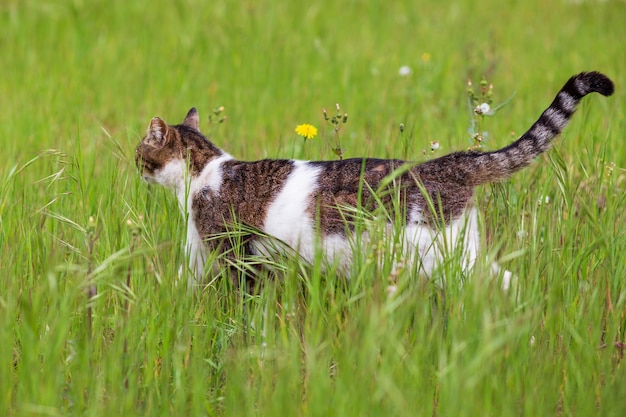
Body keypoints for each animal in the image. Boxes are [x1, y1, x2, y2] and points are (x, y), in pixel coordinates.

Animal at [134, 71, 612, 288]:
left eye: (141, 151)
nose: (134, 165)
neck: (205, 173)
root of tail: (448, 163)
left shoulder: (230, 253)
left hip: (443, 255)